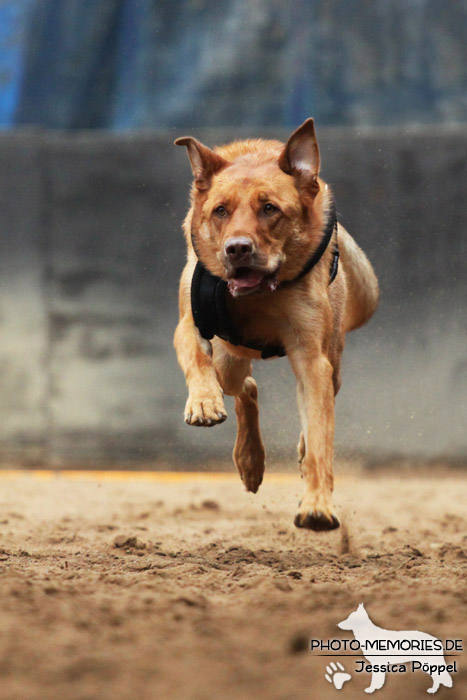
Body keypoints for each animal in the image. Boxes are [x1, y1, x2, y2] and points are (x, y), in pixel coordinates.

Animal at [174, 119, 378, 532]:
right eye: (220, 211)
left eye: (269, 209)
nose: (237, 248)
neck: (258, 295)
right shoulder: (189, 322)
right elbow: (197, 358)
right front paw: (203, 402)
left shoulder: (312, 359)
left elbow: (319, 437)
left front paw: (317, 505)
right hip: (229, 360)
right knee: (245, 388)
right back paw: (249, 460)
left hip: (331, 362)